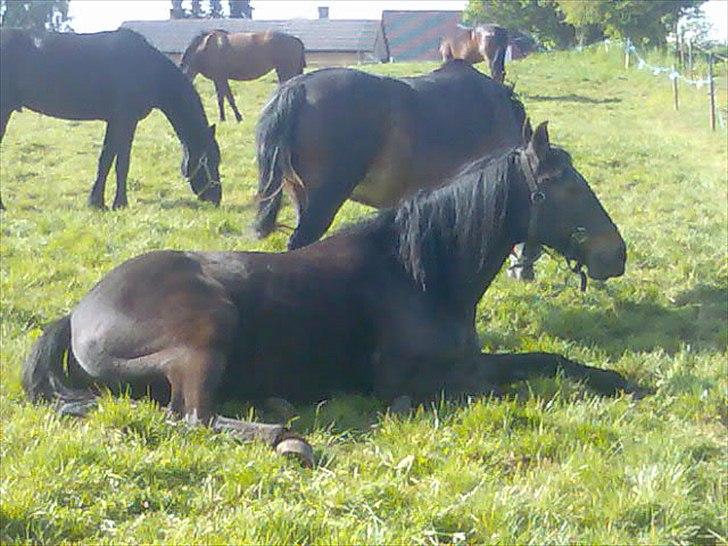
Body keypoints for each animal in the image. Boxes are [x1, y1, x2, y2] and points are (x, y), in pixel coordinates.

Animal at [0, 28, 222, 210]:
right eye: (209, 160)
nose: (216, 198)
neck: (148, 68)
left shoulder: (114, 122)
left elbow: (106, 159)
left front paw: (97, 202)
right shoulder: (126, 120)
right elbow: (121, 163)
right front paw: (119, 203)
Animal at [23, 121, 642, 467]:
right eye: (566, 187)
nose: (616, 254)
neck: (417, 272)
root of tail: (76, 314)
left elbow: (544, 360)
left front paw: (621, 381)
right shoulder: (412, 380)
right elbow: (503, 386)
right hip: (205, 333)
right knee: (193, 418)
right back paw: (286, 437)